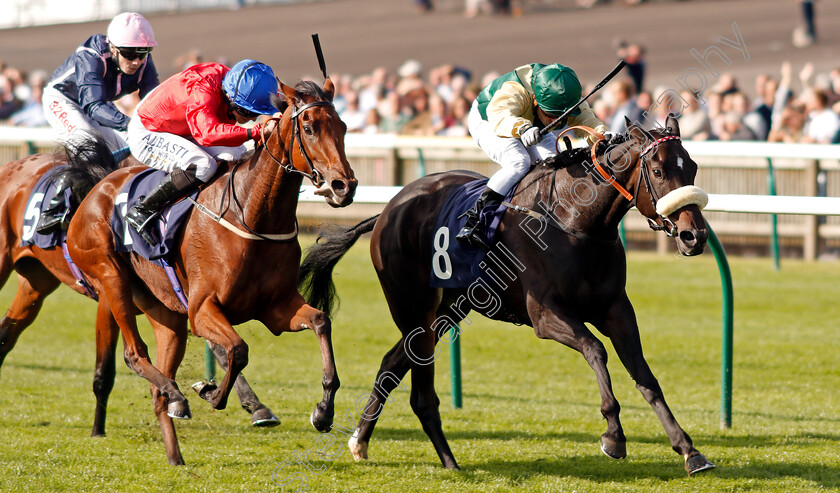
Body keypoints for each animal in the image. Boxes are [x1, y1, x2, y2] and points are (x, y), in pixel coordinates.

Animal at [0, 138, 282, 434]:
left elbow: (219, 348)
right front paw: (98, 430)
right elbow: (105, 369)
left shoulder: (189, 296)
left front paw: (254, 405)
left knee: (7, 333)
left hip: (36, 282)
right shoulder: (109, 297)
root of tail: (11, 166)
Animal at [65, 78, 354, 466]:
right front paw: (211, 391)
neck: (252, 214)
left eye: (343, 127)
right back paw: (178, 396)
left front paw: (323, 412)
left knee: (158, 388)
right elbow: (238, 349)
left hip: (168, 315)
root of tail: (95, 189)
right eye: (308, 128)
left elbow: (321, 322)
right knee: (134, 353)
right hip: (112, 280)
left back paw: (175, 449)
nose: (345, 186)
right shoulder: (203, 310)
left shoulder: (277, 309)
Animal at [296, 115, 716, 472]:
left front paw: (689, 451)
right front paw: (613, 434)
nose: (694, 236)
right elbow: (596, 349)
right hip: (412, 304)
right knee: (410, 373)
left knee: (392, 362)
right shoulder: (545, 315)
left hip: (447, 309)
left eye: (693, 167)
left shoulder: (616, 310)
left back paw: (360, 440)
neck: (574, 221)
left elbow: (646, 377)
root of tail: (388, 208)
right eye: (658, 171)